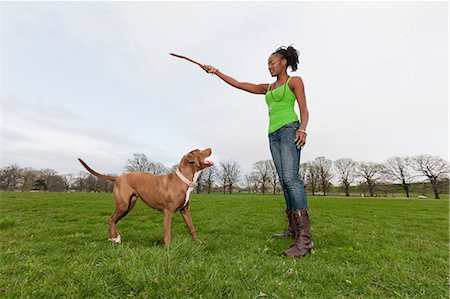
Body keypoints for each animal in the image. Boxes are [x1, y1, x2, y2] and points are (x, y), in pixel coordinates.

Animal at [78, 149, 214, 247]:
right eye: (200, 151)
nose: (210, 148)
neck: (182, 180)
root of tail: (118, 177)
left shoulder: (185, 211)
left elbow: (192, 227)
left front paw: (197, 242)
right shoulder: (168, 211)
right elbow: (167, 231)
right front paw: (168, 247)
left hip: (129, 205)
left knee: (113, 219)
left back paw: (114, 238)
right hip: (123, 205)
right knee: (111, 219)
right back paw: (114, 238)